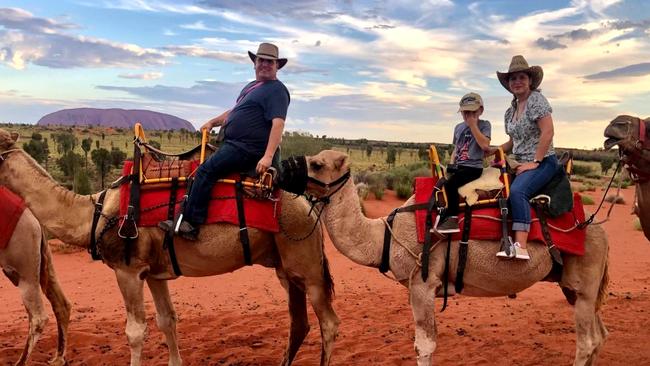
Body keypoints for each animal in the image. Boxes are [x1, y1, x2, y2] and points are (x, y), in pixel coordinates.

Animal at [0, 206, 70, 366]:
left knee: (38, 318)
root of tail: (34, 220)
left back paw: (20, 363)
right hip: (44, 259)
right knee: (62, 304)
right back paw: (58, 358)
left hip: (24, 270)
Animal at [284, 150, 608, 366]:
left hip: (583, 282)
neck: (384, 235)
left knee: (587, 341)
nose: (281, 166)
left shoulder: (423, 283)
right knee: (599, 334)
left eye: (317, 164)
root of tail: (598, 229)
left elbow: (424, 346)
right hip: (573, 288)